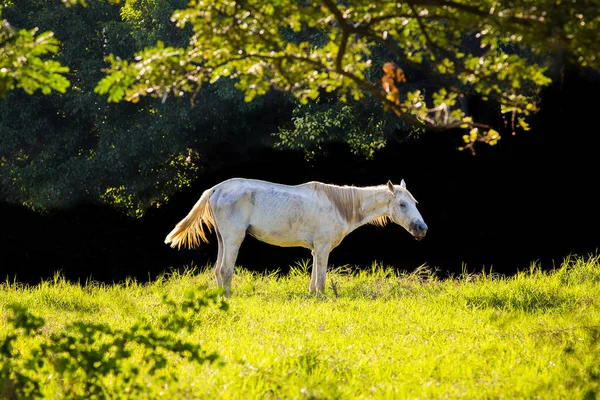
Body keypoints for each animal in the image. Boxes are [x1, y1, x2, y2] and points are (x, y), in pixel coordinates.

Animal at [165, 178, 426, 296]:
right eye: (402, 204)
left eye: (414, 202)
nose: (421, 228)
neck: (339, 206)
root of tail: (216, 189)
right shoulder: (323, 248)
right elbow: (321, 279)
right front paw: (321, 298)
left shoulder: (316, 250)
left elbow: (313, 279)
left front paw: (312, 297)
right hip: (233, 239)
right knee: (225, 271)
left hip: (222, 239)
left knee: (218, 271)